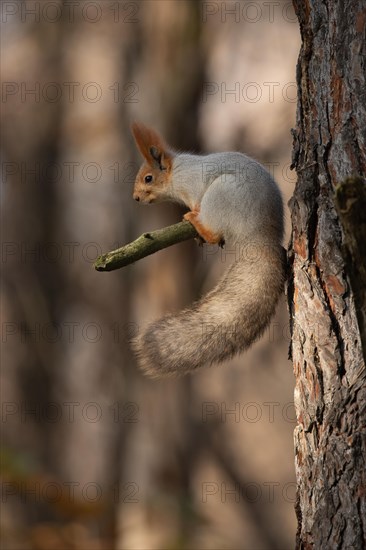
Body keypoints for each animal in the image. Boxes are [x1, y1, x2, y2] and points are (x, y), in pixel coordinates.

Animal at [130, 122, 284, 378]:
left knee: (214, 228)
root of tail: (259, 237)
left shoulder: (192, 186)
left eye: (148, 179)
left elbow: (194, 199)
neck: (176, 172)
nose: (135, 198)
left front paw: (192, 210)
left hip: (221, 195)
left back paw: (196, 220)